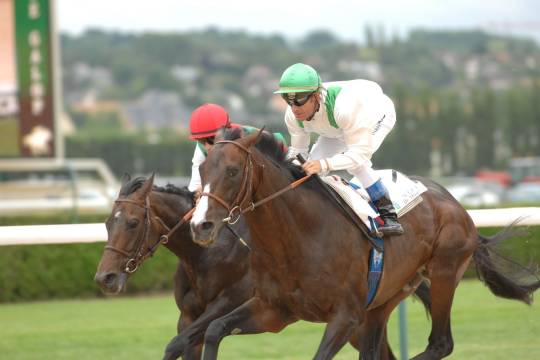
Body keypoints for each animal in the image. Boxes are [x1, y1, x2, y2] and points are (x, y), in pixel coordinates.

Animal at [191, 129, 540, 360]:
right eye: (201, 169)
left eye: (233, 171)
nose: (200, 225)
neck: (297, 237)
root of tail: (455, 204)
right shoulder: (274, 309)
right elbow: (214, 329)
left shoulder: (345, 316)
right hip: (385, 299)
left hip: (444, 272)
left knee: (441, 343)